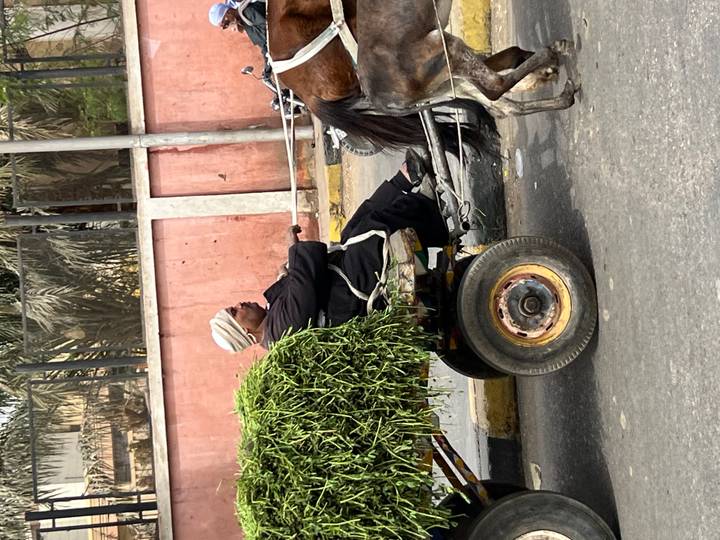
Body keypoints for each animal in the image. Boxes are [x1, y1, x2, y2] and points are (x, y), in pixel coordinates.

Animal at [267, 0, 577, 150]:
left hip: (449, 78)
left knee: (501, 103)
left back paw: (555, 85)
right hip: (446, 49)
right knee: (494, 86)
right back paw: (552, 57)